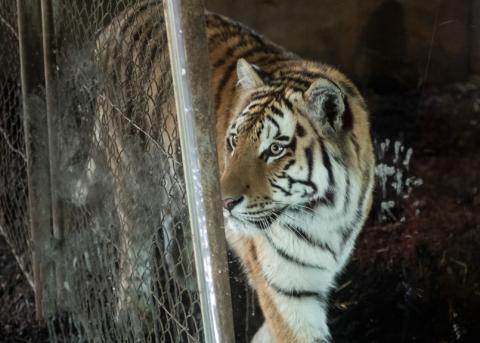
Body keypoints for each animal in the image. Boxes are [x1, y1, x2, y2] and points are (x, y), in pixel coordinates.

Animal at [94, 1, 376, 342]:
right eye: (233, 141)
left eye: (275, 149)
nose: (224, 203)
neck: (327, 215)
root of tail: (121, 17)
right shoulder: (288, 291)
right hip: (132, 173)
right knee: (135, 241)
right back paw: (134, 313)